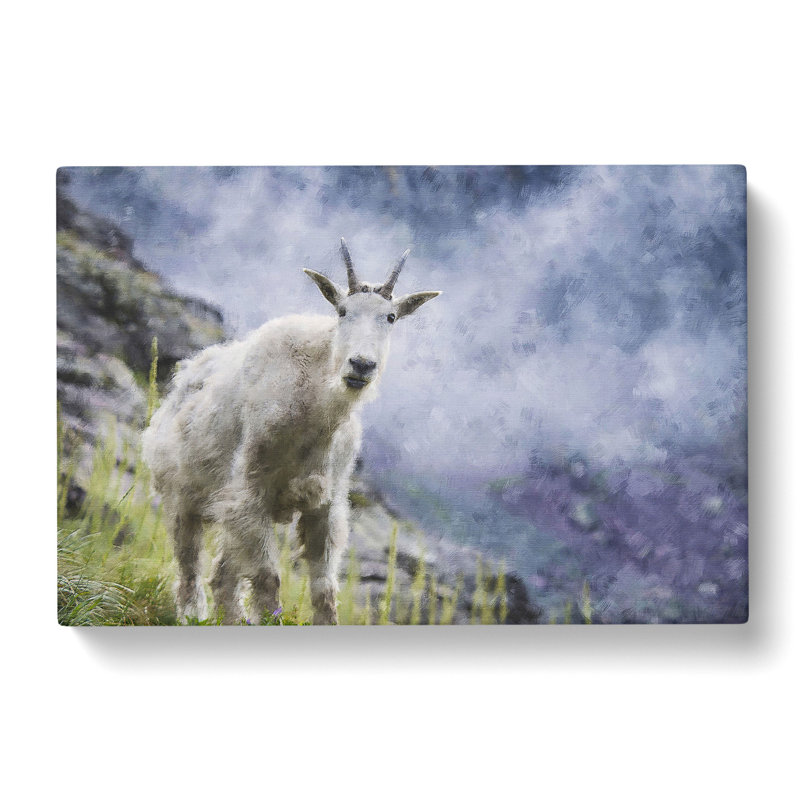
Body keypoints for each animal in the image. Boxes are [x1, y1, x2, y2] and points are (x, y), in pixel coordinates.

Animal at [142, 240, 440, 624]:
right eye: (342, 311)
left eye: (390, 317)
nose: (361, 365)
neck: (315, 410)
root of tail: (184, 375)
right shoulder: (251, 492)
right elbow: (268, 578)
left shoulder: (325, 504)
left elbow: (325, 589)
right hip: (182, 494)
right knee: (190, 565)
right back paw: (192, 613)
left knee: (223, 575)